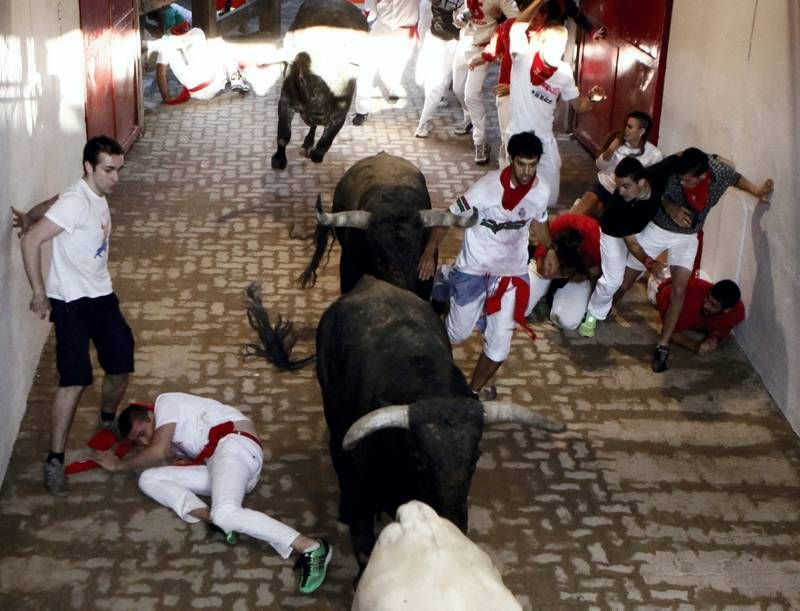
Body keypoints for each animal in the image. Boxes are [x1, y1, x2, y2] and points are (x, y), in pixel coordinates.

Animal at [270, 0, 368, 170]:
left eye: (343, 79)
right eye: (302, 78)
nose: (318, 113)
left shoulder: (339, 115)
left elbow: (326, 140)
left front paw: (316, 154)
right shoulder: (285, 100)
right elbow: (283, 134)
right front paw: (278, 160)